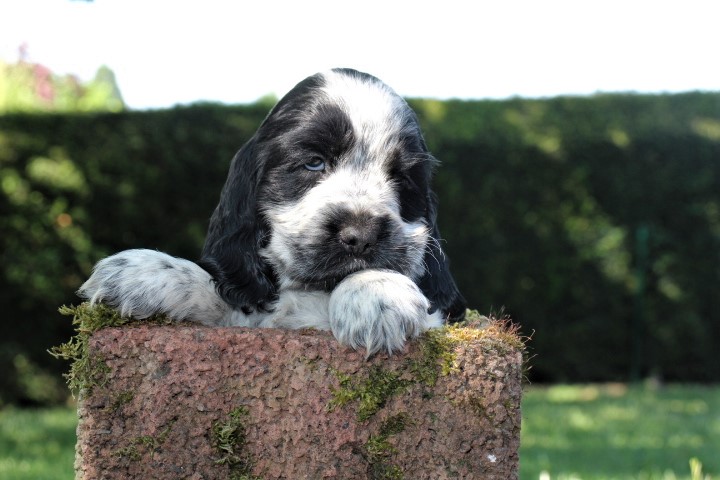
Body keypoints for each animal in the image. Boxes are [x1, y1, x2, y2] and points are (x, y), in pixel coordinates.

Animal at [79, 68, 466, 356]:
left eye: (400, 177)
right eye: (314, 162)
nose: (362, 236)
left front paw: (375, 293)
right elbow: (229, 298)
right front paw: (142, 273)